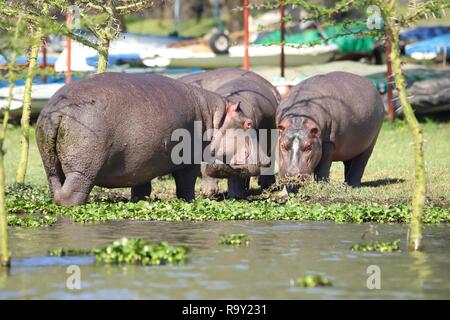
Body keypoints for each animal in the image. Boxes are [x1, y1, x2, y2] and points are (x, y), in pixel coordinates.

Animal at [35, 72, 258, 205]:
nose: (262, 161)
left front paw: (138, 200)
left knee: (55, 185)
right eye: (248, 123)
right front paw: (190, 202)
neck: (215, 116)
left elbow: (142, 187)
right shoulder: (188, 161)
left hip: (50, 163)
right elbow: (186, 184)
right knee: (72, 193)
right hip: (83, 169)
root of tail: (57, 110)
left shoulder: (142, 163)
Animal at [178, 67, 278, 198]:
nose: (219, 164)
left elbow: (237, 176)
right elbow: (204, 169)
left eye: (249, 124)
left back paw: (267, 186)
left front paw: (235, 196)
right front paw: (208, 193)